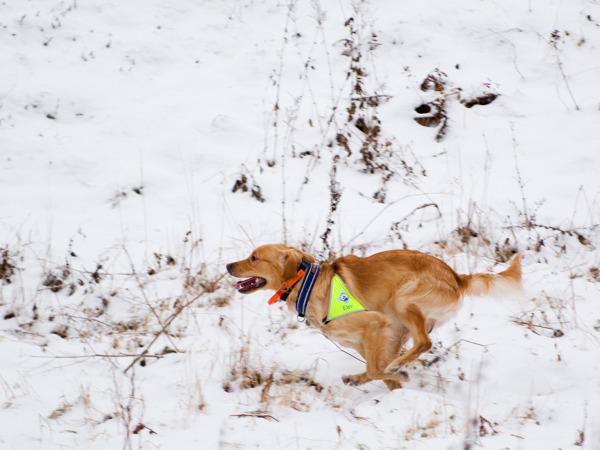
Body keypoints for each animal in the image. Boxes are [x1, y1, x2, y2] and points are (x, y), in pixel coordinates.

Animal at [227, 244, 524, 388]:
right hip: (400, 323)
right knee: (411, 349)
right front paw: (395, 384)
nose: (228, 265)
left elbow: (374, 370)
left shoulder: (374, 323)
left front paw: (368, 377)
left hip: (403, 301)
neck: (307, 284)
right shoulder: (373, 339)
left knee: (424, 343)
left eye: (254, 257)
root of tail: (457, 276)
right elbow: (378, 371)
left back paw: (395, 366)